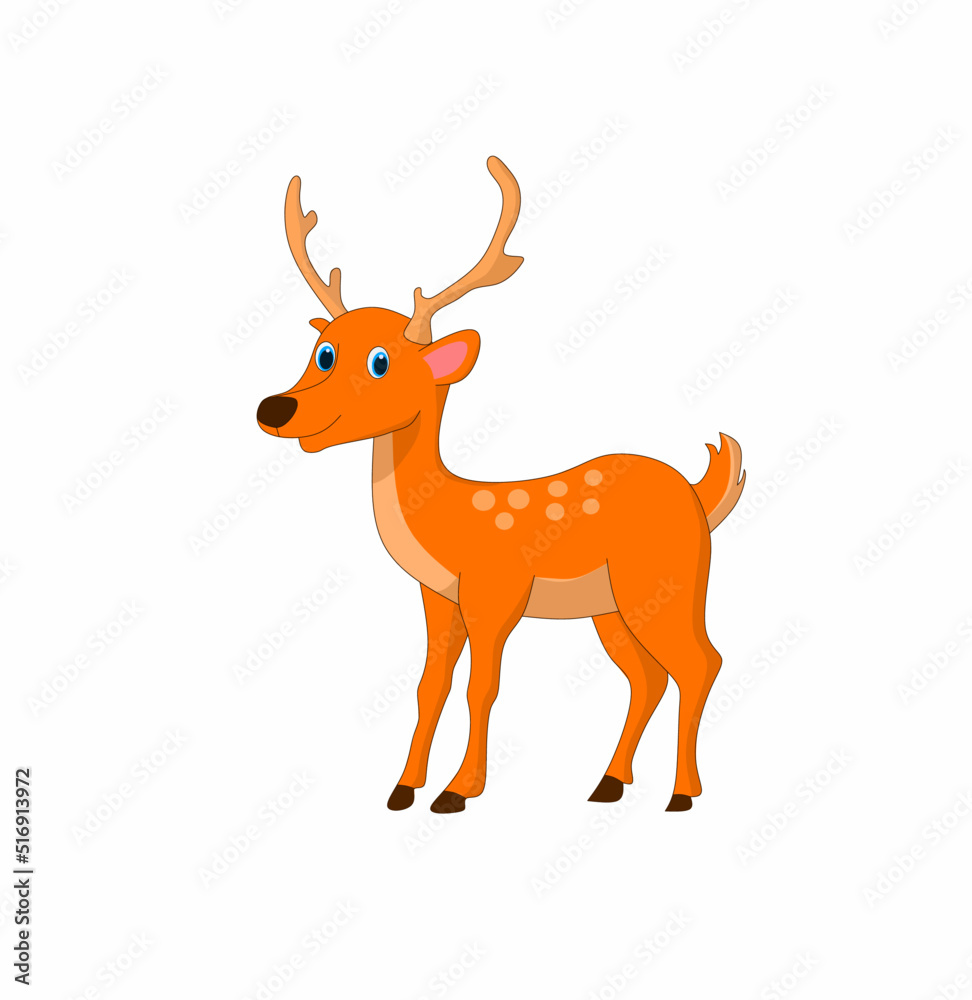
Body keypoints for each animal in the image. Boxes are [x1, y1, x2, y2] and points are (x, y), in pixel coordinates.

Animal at [256, 156, 745, 814]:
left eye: (381, 362)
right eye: (323, 351)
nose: (275, 409)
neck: (446, 519)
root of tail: (699, 494)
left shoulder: (496, 591)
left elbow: (480, 687)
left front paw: (456, 792)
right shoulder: (438, 596)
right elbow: (430, 686)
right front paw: (403, 788)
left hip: (666, 579)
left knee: (701, 663)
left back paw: (682, 794)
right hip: (612, 605)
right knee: (648, 677)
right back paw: (608, 784)